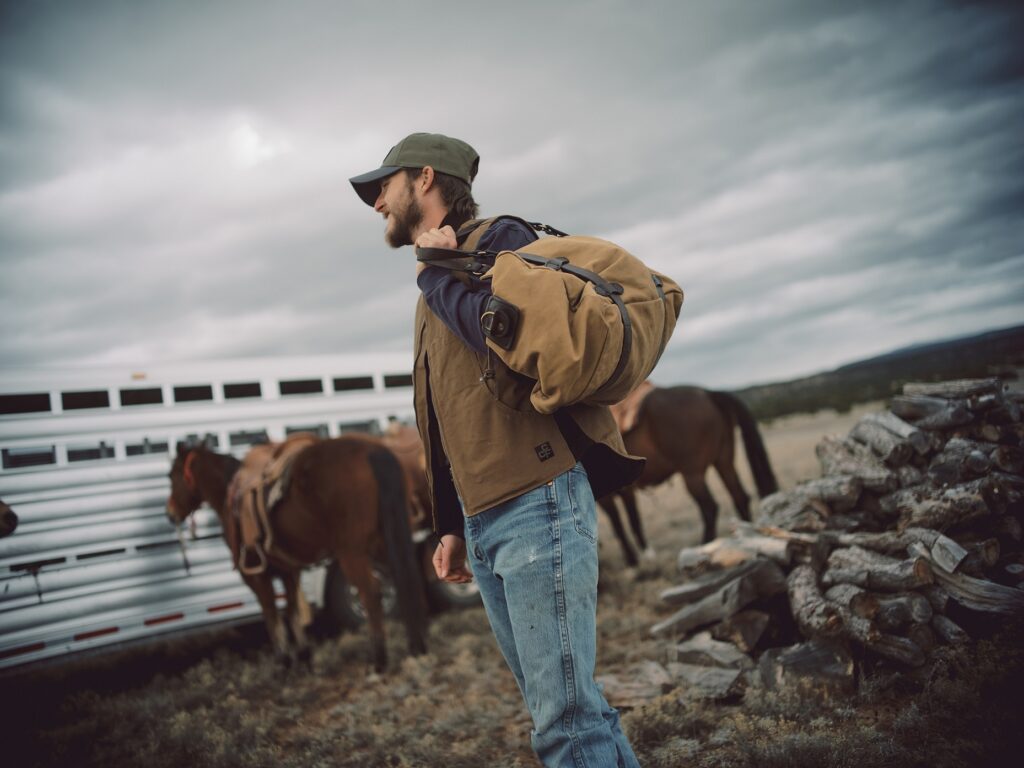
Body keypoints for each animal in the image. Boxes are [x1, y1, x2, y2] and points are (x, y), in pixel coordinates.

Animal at [164, 436, 428, 671]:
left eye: (172, 475)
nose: (170, 513)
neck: (230, 496)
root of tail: (374, 452)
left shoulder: (255, 576)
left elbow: (271, 615)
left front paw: (283, 662)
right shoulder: (287, 571)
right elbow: (292, 612)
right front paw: (304, 656)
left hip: (352, 553)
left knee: (371, 593)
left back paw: (379, 661)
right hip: (387, 541)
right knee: (407, 580)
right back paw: (416, 649)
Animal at [598, 385, 778, 561]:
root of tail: (707, 393)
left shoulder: (611, 495)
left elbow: (621, 525)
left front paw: (634, 558)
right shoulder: (626, 491)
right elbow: (630, 521)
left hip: (693, 475)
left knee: (710, 507)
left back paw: (704, 545)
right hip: (724, 462)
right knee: (740, 497)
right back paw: (742, 539)